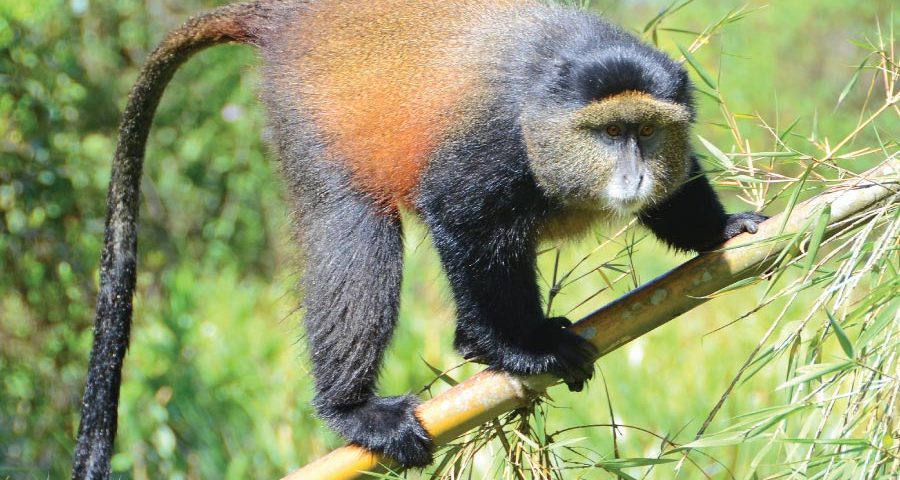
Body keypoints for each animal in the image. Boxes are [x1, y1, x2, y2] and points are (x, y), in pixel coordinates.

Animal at [72, 0, 768, 477]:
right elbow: (462, 221)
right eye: (610, 132)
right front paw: (515, 350)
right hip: (314, 116)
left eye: (645, 131)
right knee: (356, 230)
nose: (634, 174)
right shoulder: (490, 145)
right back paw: (354, 409)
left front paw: (725, 231)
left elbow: (678, 192)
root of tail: (288, 17)